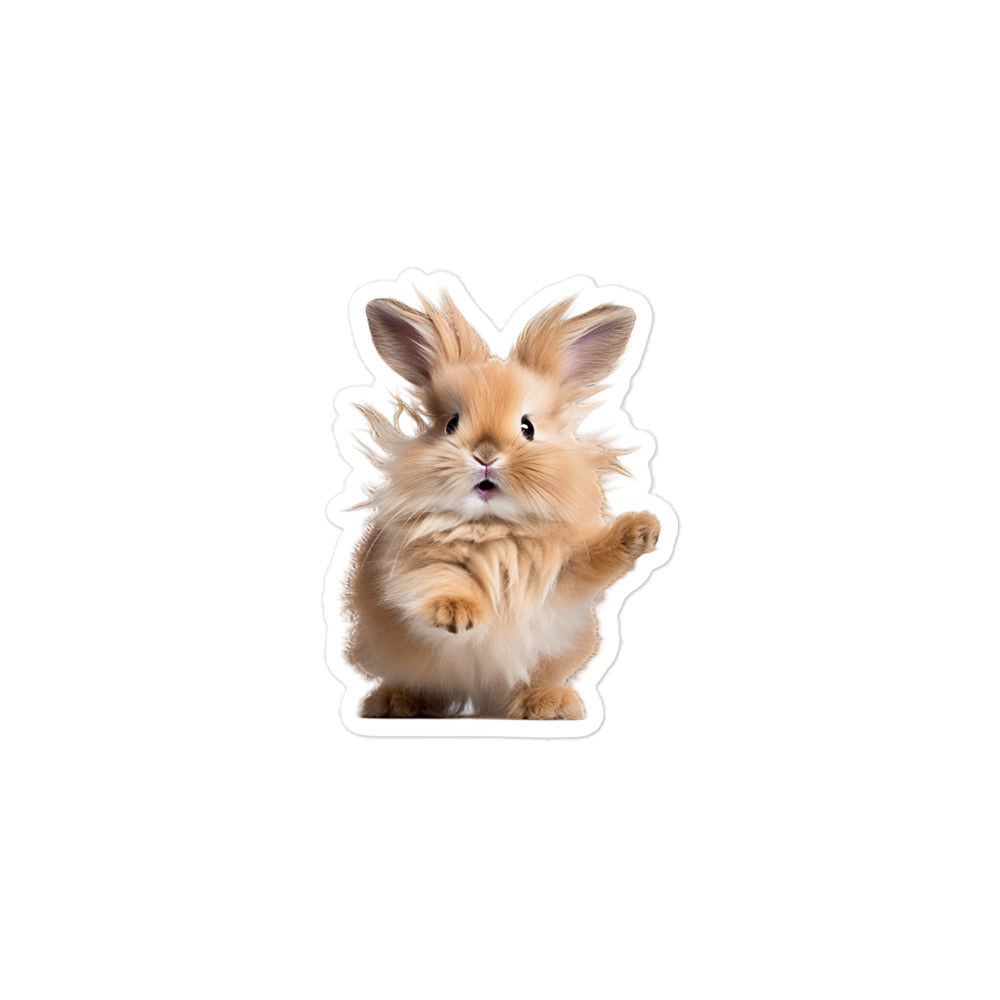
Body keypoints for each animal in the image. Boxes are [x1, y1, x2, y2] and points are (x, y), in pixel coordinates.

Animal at [343, 290, 659, 719]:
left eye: (527, 427)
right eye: (451, 424)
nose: (486, 455)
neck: (495, 526)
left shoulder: (565, 575)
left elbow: (594, 562)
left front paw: (644, 530)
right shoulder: (412, 562)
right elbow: (440, 581)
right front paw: (458, 616)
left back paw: (550, 704)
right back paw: (396, 702)